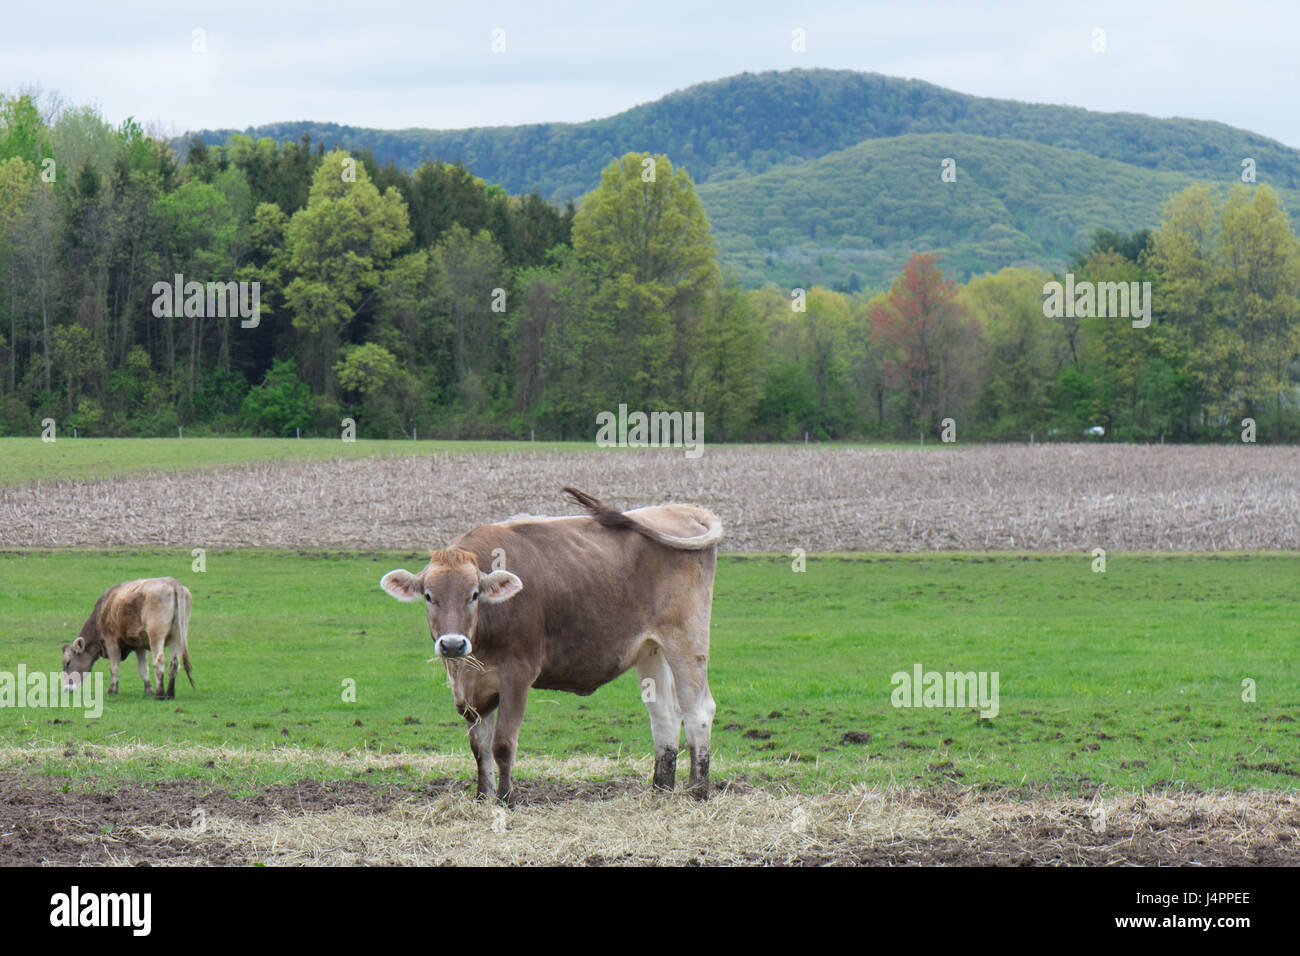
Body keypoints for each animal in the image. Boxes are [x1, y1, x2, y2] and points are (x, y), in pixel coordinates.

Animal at [61, 574, 193, 702]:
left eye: (68, 663)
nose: (67, 689)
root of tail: (173, 582)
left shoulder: (110, 640)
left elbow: (114, 667)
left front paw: (112, 690)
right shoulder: (139, 645)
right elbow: (143, 668)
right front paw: (148, 690)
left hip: (156, 633)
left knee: (159, 660)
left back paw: (160, 694)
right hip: (178, 635)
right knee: (174, 662)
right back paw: (170, 694)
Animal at [379, 489, 722, 806]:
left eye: (474, 594)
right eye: (428, 596)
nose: (452, 643)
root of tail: (680, 509)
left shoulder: (517, 675)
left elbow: (503, 744)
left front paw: (505, 799)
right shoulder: (468, 690)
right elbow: (479, 747)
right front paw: (482, 797)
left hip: (686, 640)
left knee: (698, 710)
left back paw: (698, 792)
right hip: (651, 648)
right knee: (664, 715)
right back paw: (659, 792)